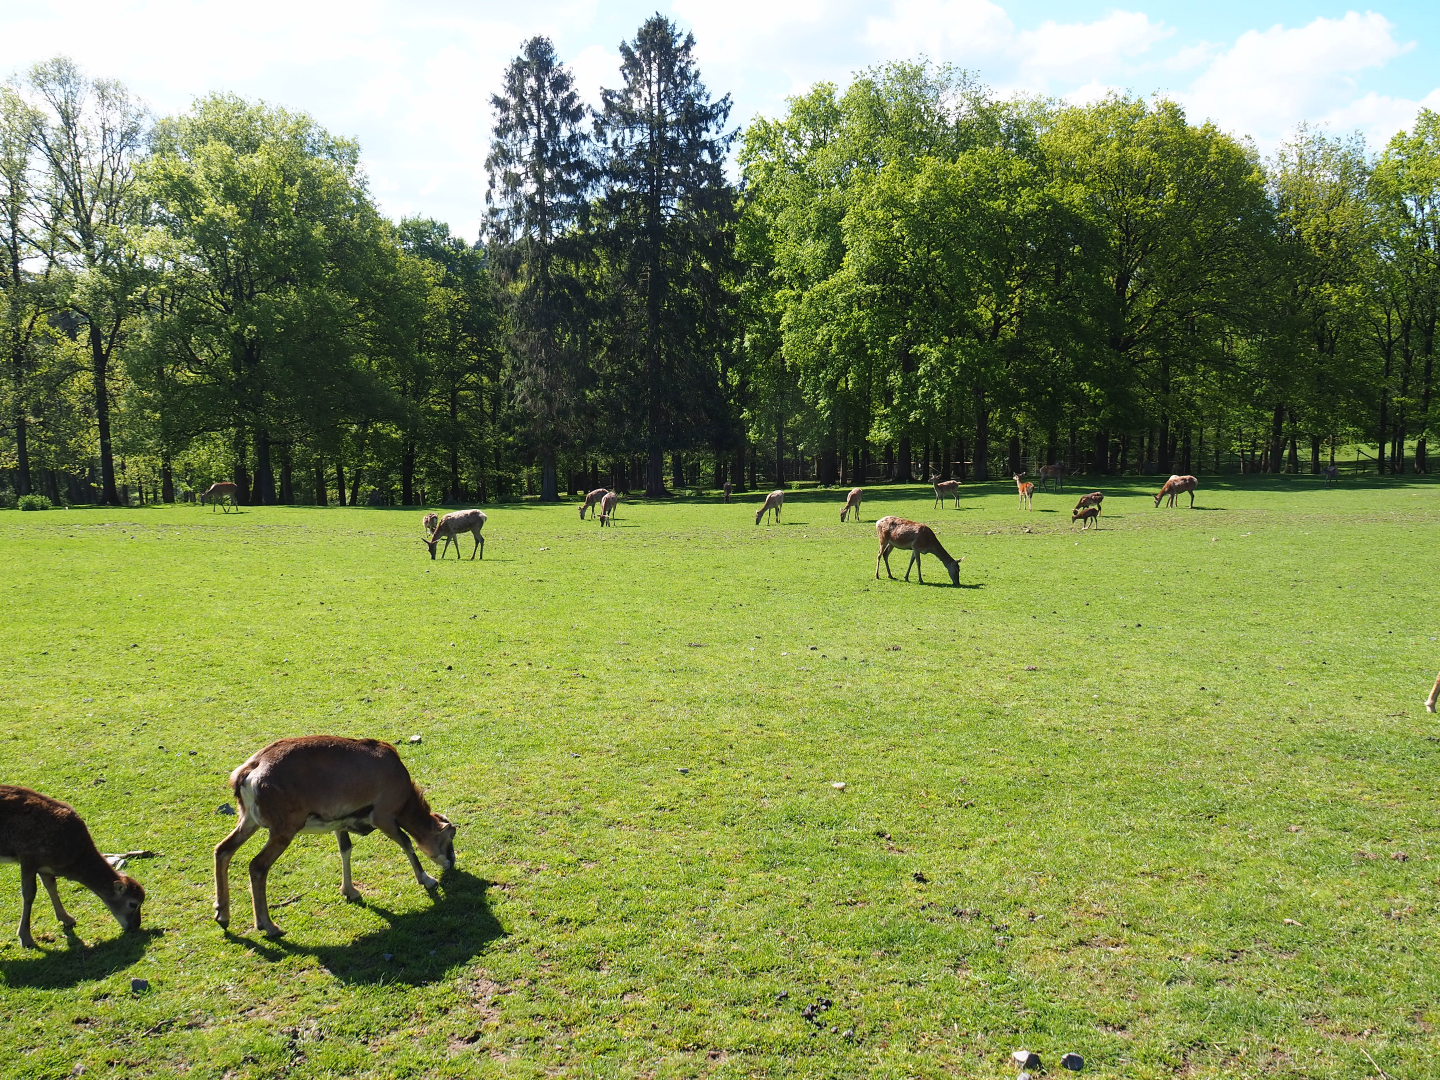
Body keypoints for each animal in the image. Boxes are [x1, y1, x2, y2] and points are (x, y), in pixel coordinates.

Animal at [0, 785, 146, 949]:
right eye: (133, 904)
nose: (136, 925)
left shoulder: (45, 866)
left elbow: (51, 886)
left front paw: (67, 919)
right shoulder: (28, 857)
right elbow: (29, 894)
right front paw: (25, 938)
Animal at [213, 735, 457, 939]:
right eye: (450, 838)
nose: (451, 863)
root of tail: (250, 772)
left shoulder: (340, 825)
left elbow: (345, 850)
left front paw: (350, 892)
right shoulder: (384, 817)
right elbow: (406, 843)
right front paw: (428, 880)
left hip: (248, 822)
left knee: (223, 850)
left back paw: (223, 915)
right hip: (283, 831)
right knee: (257, 866)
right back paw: (269, 926)